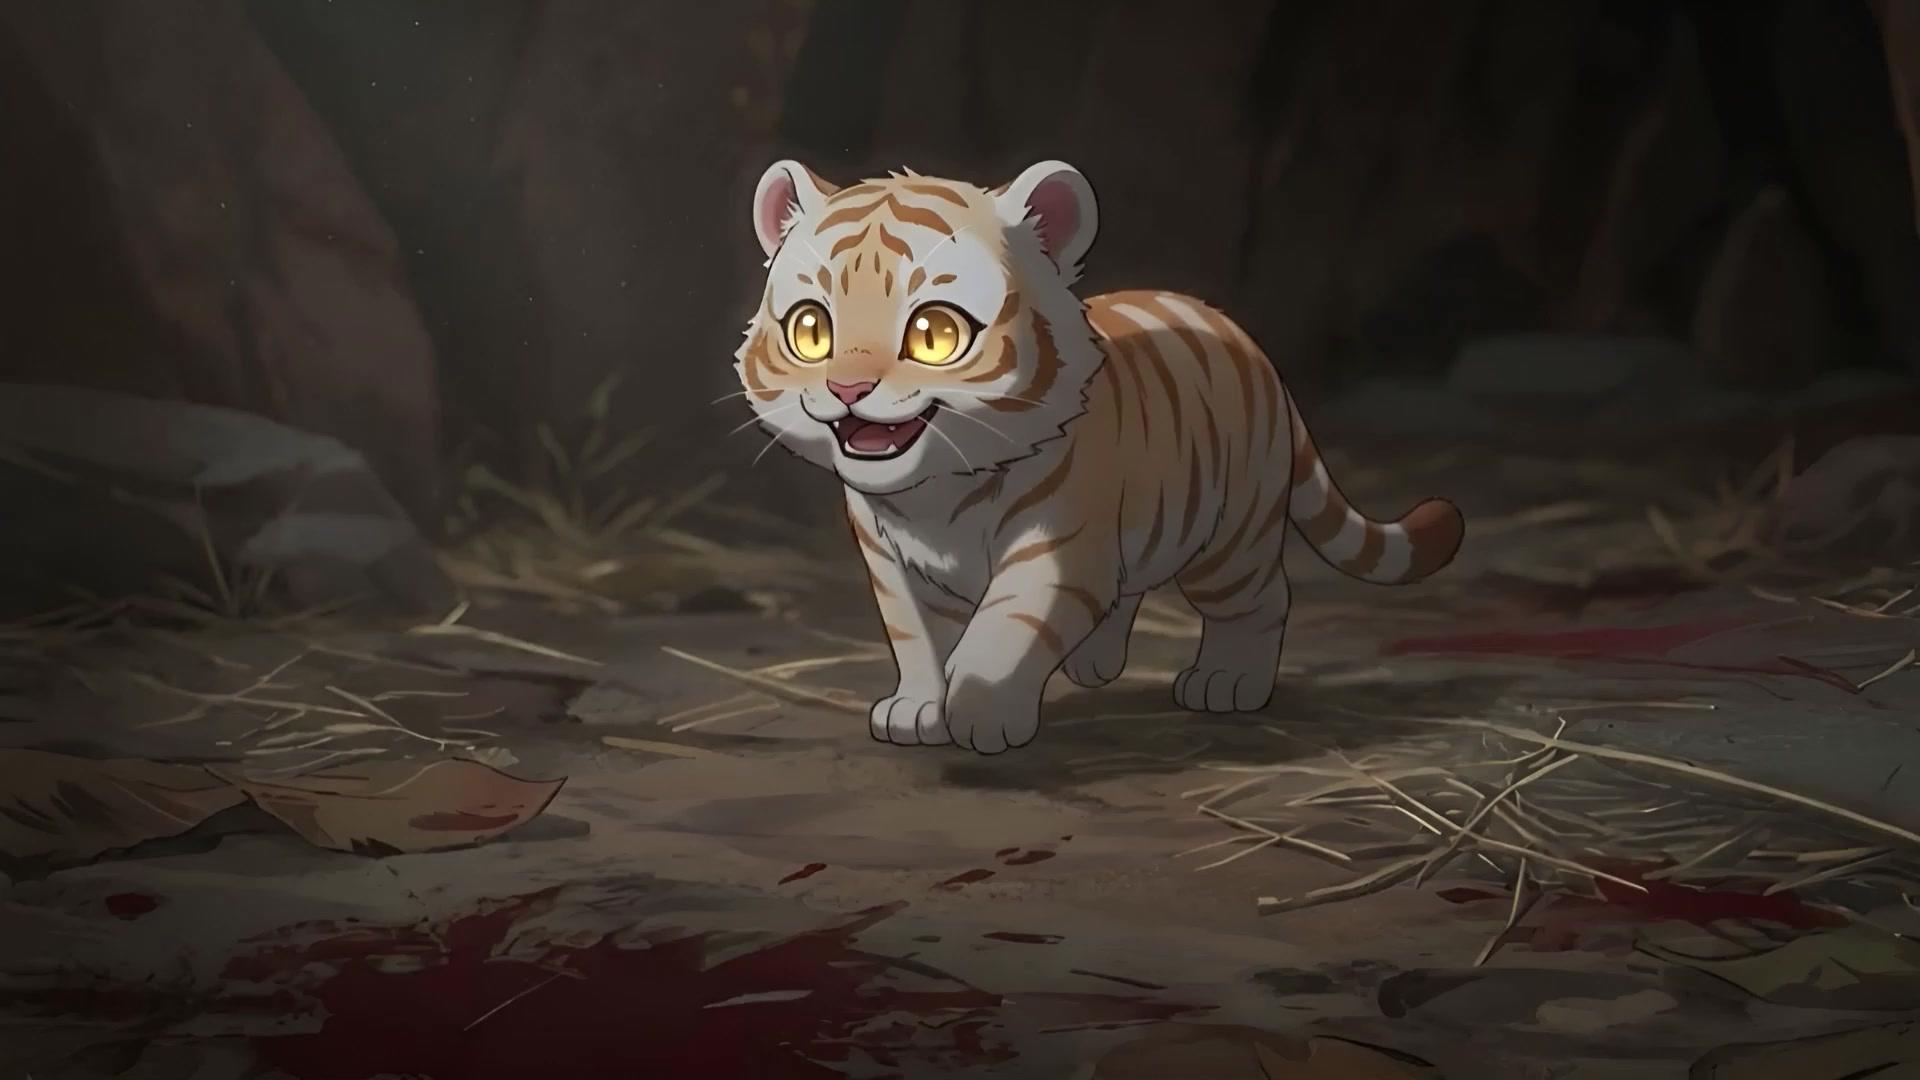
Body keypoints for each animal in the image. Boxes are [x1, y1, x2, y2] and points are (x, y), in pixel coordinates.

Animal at [734, 158, 1463, 755]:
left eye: (935, 334)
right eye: (811, 330)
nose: (847, 390)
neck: (933, 492)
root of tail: (1252, 345)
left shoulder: (1053, 551)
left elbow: (1002, 630)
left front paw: (983, 713)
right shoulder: (894, 566)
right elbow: (919, 638)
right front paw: (918, 710)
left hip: (1231, 541)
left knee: (1260, 600)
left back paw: (1227, 681)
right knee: (1129, 588)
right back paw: (1098, 663)